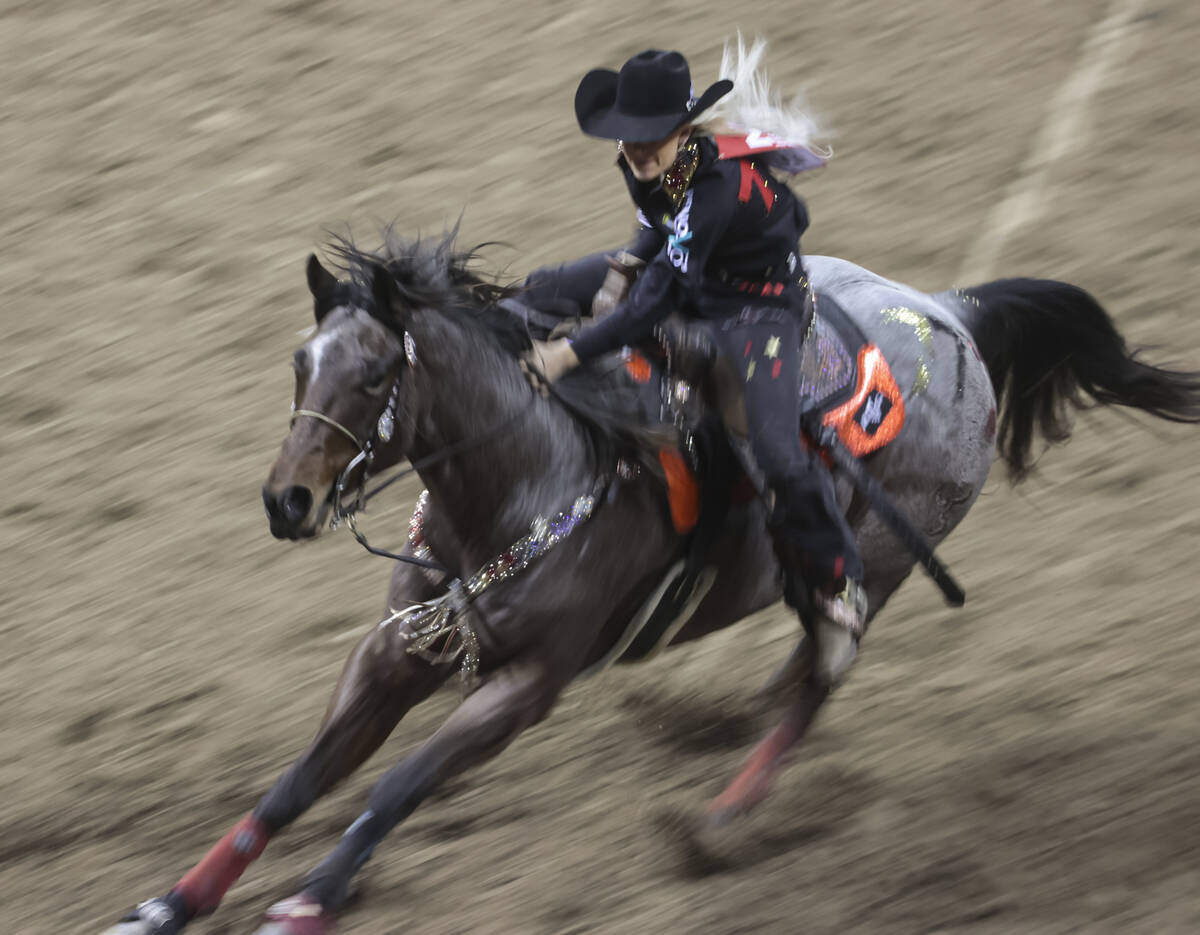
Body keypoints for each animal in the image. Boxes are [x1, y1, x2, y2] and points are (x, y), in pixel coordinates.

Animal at [103, 228, 1200, 935]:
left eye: (375, 374)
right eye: (301, 362)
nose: (286, 499)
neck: (527, 478)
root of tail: (956, 315)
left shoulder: (526, 686)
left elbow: (395, 785)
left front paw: (306, 901)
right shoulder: (396, 649)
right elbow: (298, 780)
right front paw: (167, 903)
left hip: (872, 570)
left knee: (820, 678)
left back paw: (714, 825)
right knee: (801, 676)